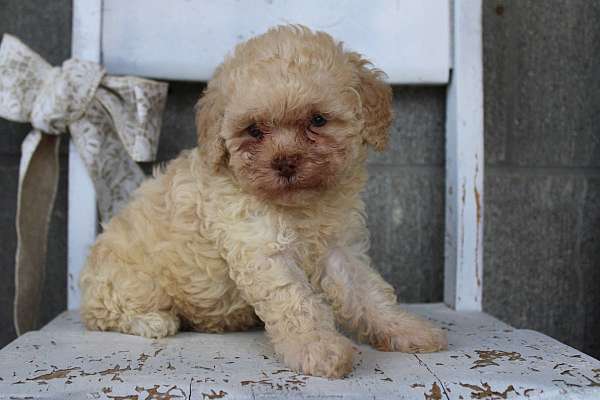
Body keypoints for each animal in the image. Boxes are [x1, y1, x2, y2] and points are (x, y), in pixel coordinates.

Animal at [78, 25, 446, 378]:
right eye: (253, 130)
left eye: (318, 120)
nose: (284, 163)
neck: (301, 207)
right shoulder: (260, 246)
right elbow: (296, 303)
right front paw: (317, 348)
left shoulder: (340, 248)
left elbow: (368, 292)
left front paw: (405, 328)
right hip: (131, 282)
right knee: (103, 313)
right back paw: (156, 320)